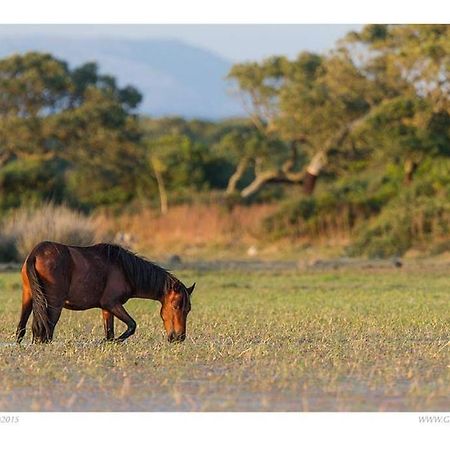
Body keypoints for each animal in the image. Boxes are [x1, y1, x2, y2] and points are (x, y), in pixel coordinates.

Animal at [15, 243, 195, 344]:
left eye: (188, 309)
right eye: (176, 306)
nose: (179, 337)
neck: (123, 268)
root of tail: (35, 253)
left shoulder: (107, 309)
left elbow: (110, 333)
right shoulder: (112, 303)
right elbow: (131, 326)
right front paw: (112, 342)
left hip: (28, 299)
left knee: (21, 329)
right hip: (54, 305)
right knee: (46, 332)